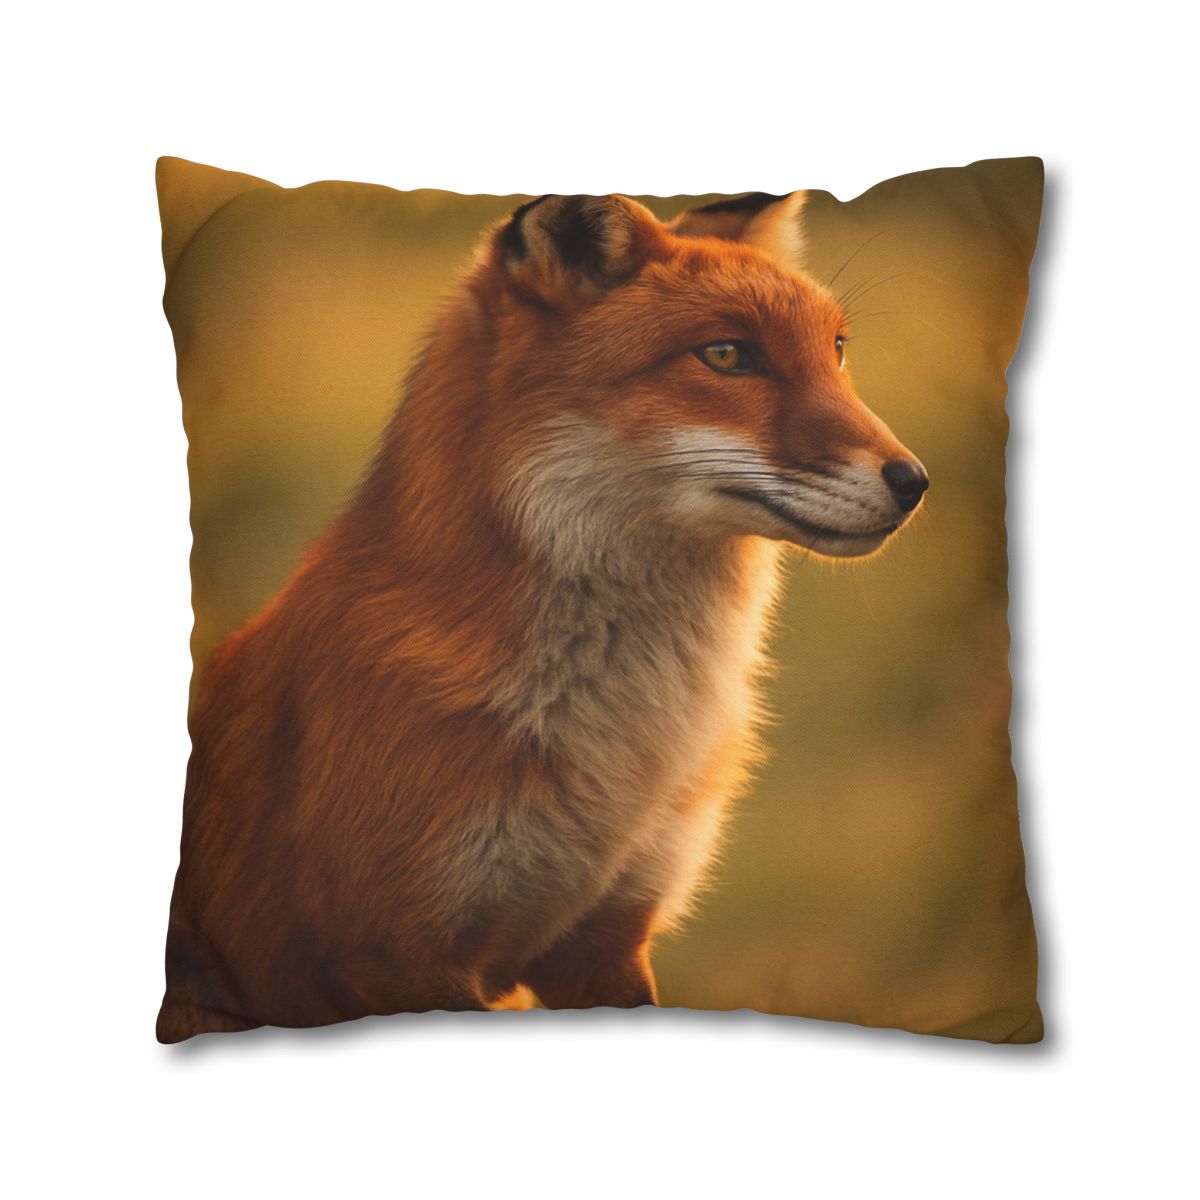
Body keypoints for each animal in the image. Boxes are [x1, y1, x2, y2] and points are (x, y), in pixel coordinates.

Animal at [157, 191, 928, 1042]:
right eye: (728, 355)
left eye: (837, 351)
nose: (915, 481)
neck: (626, 742)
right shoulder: (395, 952)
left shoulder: (606, 942)